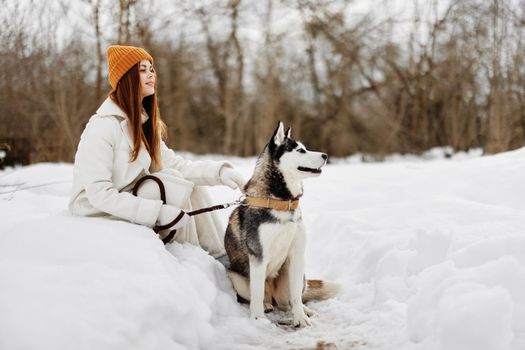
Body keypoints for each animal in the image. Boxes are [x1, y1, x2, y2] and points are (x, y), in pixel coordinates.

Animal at [225, 121, 340, 326]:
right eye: (300, 150)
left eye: (305, 148)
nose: (325, 155)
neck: (281, 202)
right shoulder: (258, 257)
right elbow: (256, 294)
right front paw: (258, 320)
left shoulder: (297, 255)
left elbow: (296, 298)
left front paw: (301, 319)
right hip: (237, 278)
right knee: (261, 296)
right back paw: (266, 306)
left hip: (297, 276)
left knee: (288, 301)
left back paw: (305, 311)